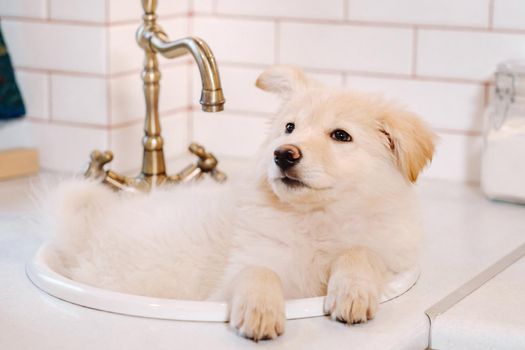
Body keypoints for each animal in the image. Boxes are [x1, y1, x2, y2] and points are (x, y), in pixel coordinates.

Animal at [47, 65, 434, 342]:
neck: (315, 217)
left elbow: (359, 253)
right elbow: (257, 271)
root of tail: (88, 229)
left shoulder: (389, 253)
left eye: (341, 136)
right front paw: (260, 312)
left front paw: (351, 293)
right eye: (289, 128)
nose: (283, 154)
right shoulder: (240, 267)